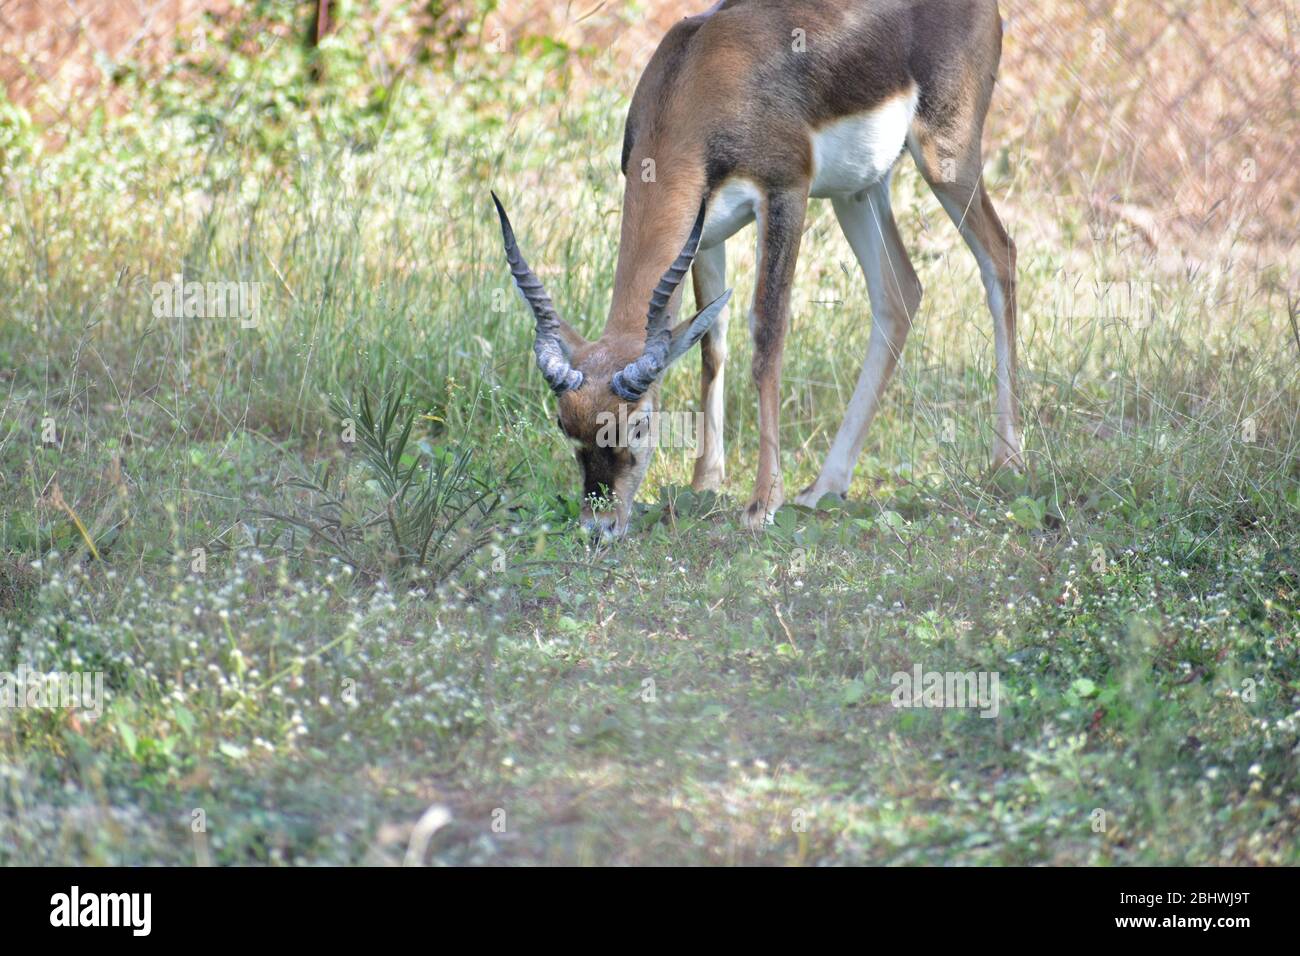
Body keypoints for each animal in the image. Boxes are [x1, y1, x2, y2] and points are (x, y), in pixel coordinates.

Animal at [491, 0, 1019, 538]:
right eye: (564, 423)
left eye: (638, 424)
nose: (599, 524)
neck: (698, 78)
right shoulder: (702, 231)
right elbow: (711, 343)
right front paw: (705, 482)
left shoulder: (785, 193)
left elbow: (767, 336)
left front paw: (762, 503)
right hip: (859, 190)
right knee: (899, 292)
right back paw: (825, 486)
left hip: (945, 156)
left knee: (1000, 256)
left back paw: (1007, 462)